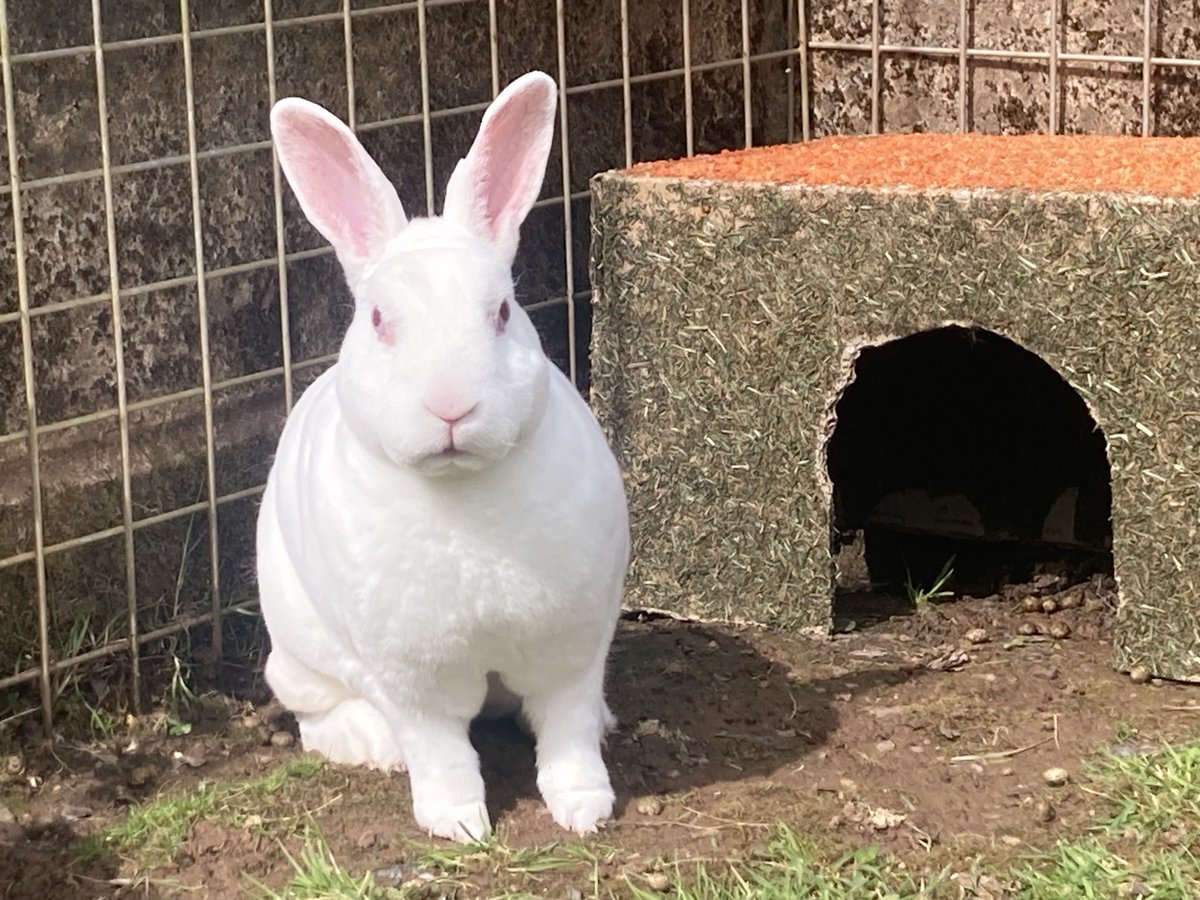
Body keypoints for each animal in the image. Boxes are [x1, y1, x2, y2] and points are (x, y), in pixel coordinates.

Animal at [258, 72, 633, 844]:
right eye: (378, 320)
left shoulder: (572, 651)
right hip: (299, 653)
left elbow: (568, 733)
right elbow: (441, 753)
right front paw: (459, 824)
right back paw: (370, 743)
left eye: (502, 312)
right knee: (317, 713)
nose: (451, 406)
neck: (465, 493)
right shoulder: (415, 681)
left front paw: (585, 810)